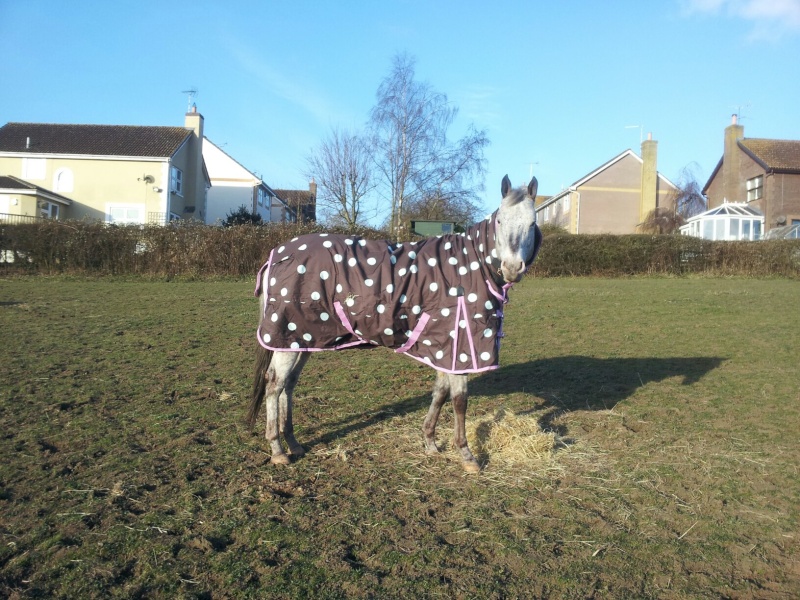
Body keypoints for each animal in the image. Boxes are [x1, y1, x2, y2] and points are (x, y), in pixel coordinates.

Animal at [247, 173, 540, 474]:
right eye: (500, 221)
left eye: (532, 222)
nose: (512, 268)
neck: (472, 266)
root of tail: (277, 254)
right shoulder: (461, 347)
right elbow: (459, 400)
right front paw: (467, 455)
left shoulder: (444, 348)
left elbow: (440, 393)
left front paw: (430, 442)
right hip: (287, 339)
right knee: (274, 385)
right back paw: (277, 449)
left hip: (303, 340)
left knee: (288, 385)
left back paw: (293, 443)